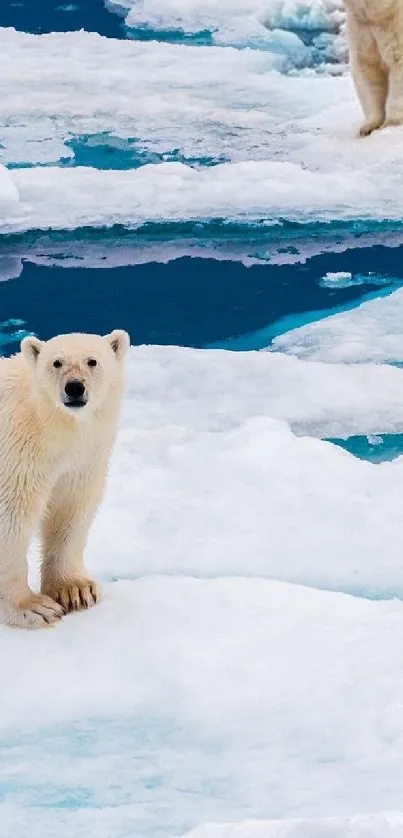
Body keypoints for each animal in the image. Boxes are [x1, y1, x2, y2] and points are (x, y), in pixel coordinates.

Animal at [0, 329, 130, 629]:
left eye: (92, 361)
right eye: (56, 362)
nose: (74, 388)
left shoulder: (80, 458)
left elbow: (70, 506)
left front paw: (75, 591)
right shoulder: (17, 448)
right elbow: (12, 514)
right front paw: (32, 608)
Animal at [344, 0, 403, 135]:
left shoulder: (395, 25)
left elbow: (398, 65)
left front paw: (391, 123)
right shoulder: (362, 30)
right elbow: (368, 73)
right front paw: (368, 127)